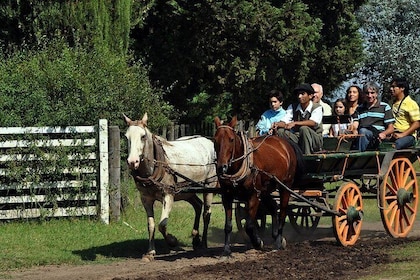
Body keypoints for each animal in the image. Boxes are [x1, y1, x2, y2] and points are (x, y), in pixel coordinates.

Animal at [124, 112, 217, 262]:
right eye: (127, 137)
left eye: (143, 136)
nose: (132, 162)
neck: (155, 165)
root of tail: (208, 141)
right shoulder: (146, 199)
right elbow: (151, 225)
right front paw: (150, 252)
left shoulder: (168, 195)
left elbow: (162, 225)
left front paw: (173, 241)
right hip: (187, 192)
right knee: (198, 205)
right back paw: (195, 239)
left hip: (209, 186)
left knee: (206, 214)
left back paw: (203, 244)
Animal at [215, 116, 304, 256]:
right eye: (215, 139)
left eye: (231, 139)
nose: (221, 167)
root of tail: (286, 143)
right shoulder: (227, 196)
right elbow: (228, 226)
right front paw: (226, 250)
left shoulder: (254, 196)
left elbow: (249, 226)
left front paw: (258, 242)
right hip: (265, 190)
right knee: (273, 207)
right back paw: (275, 236)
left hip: (285, 187)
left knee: (283, 212)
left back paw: (279, 242)